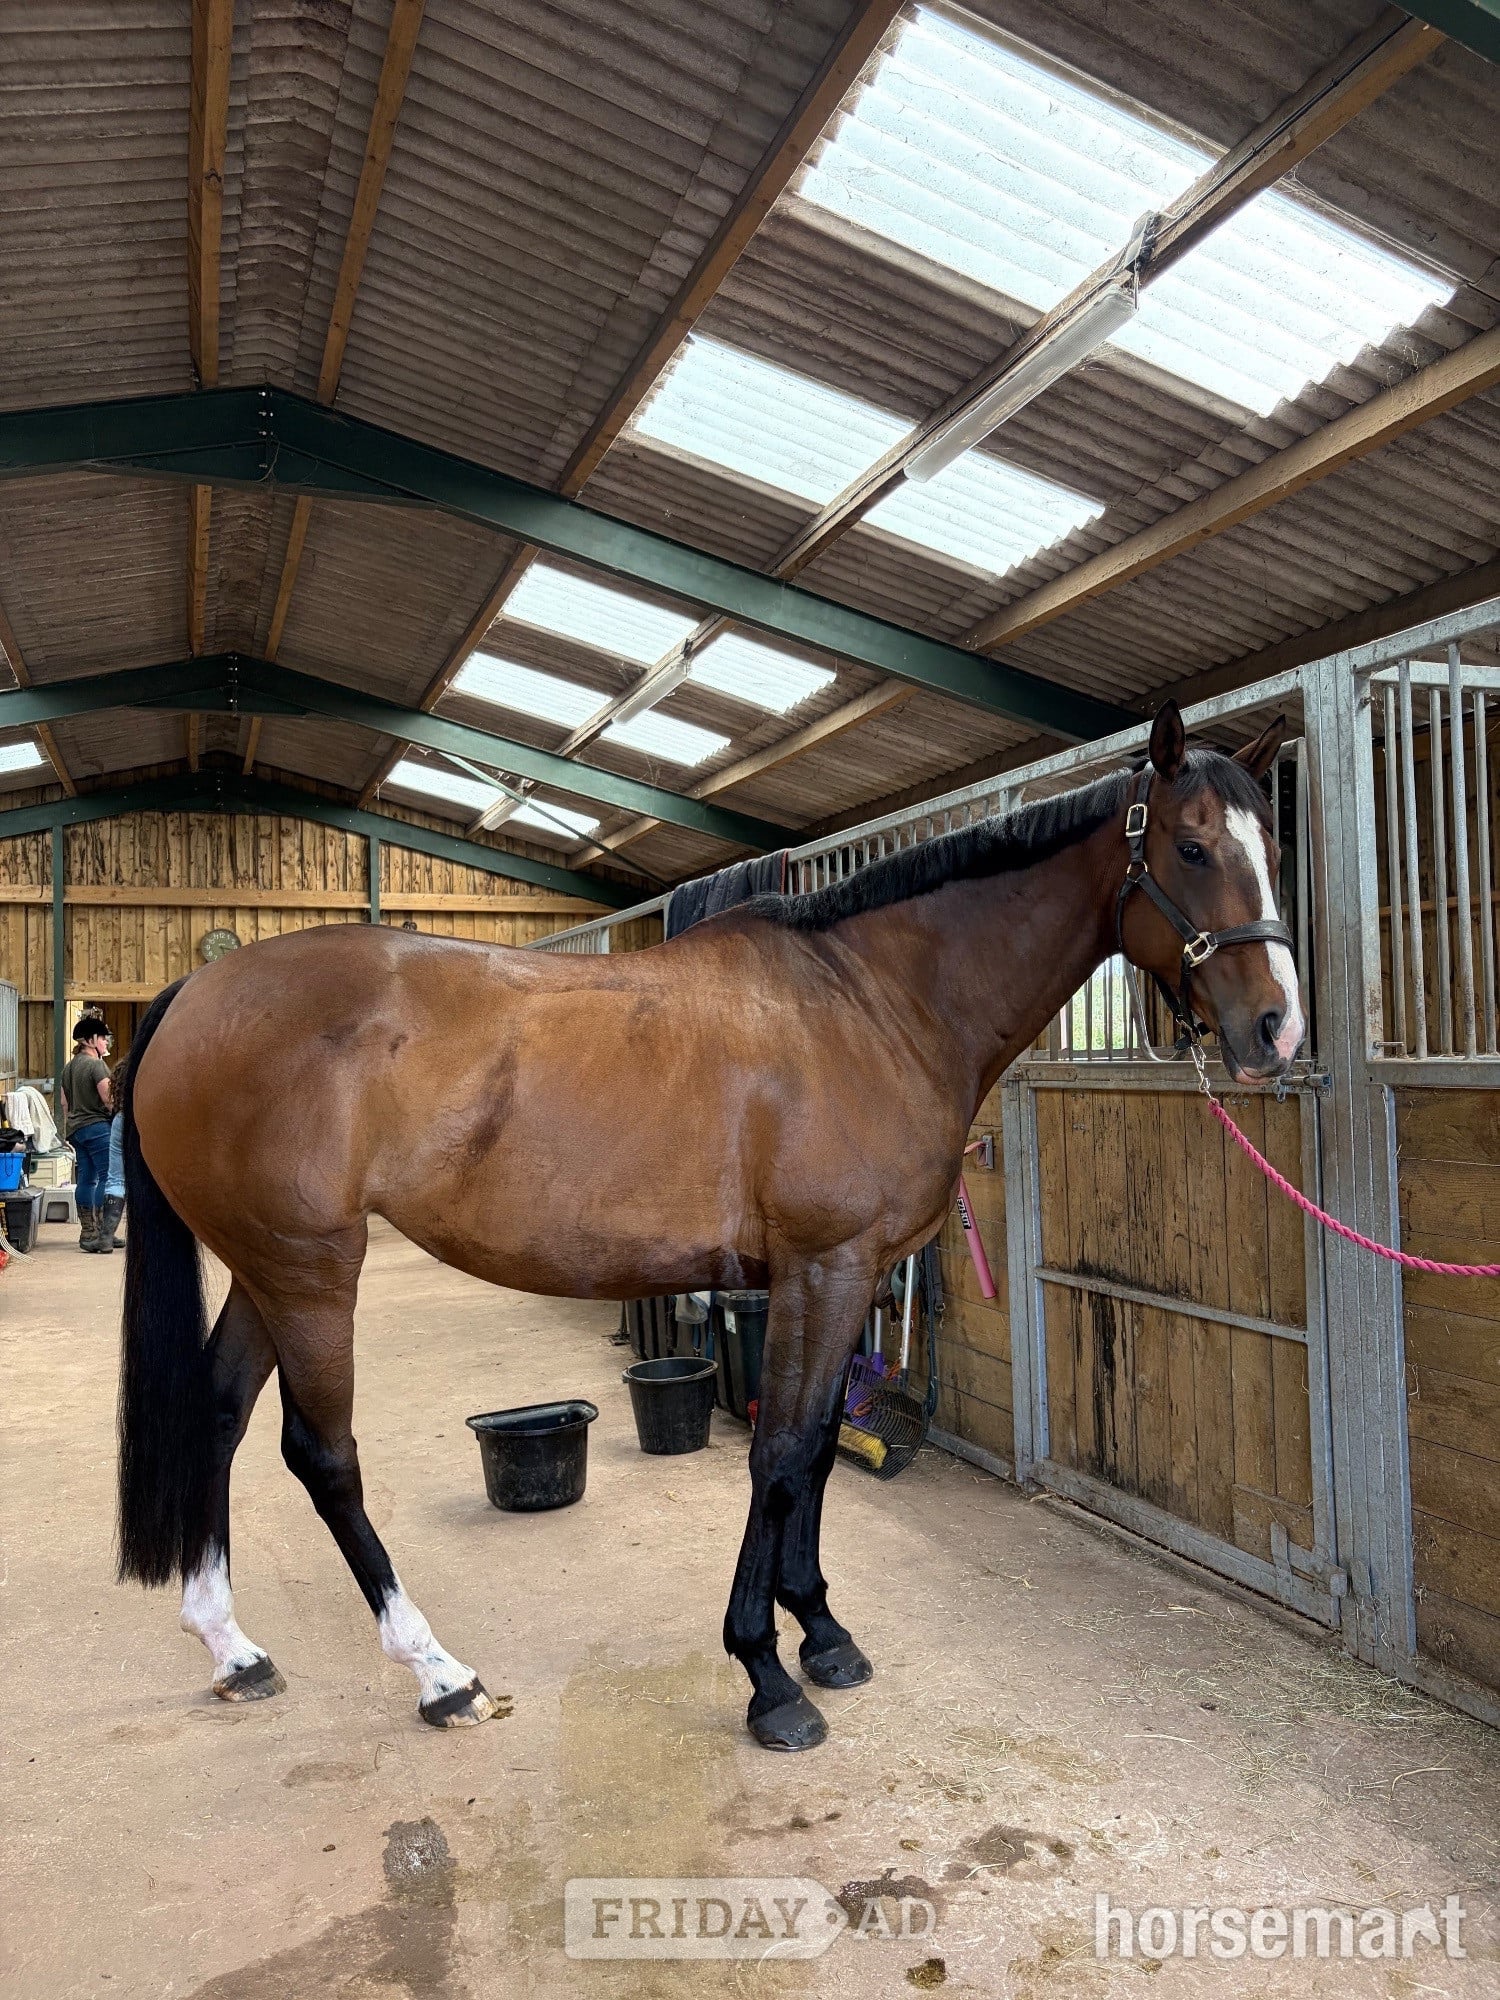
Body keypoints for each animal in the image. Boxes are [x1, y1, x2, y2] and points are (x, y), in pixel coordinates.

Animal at [116, 700, 1303, 1752]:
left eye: (1273, 845)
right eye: (1193, 846)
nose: (1277, 1029)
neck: (873, 1003)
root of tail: (195, 992)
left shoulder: (838, 1277)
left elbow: (817, 1447)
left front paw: (821, 1631)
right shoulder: (824, 1267)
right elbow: (777, 1454)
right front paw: (768, 1676)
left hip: (267, 1269)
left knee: (217, 1411)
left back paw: (234, 1648)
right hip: (311, 1269)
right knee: (322, 1454)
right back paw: (441, 1674)